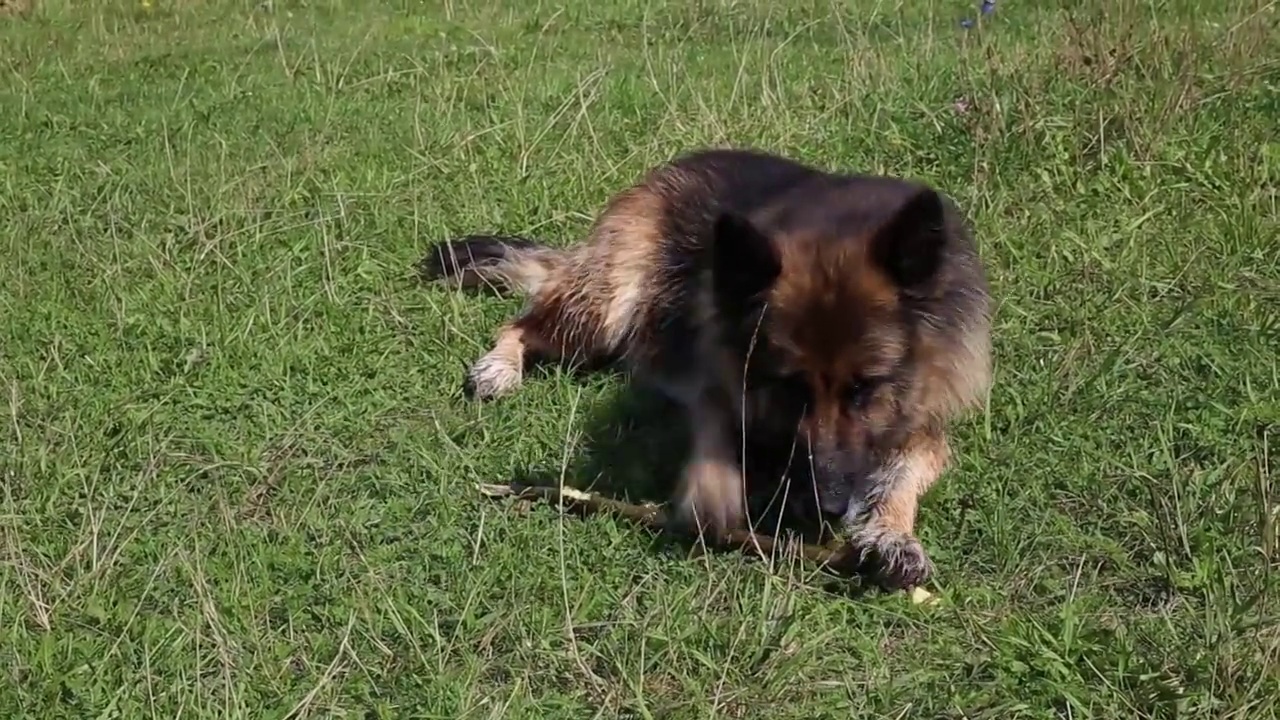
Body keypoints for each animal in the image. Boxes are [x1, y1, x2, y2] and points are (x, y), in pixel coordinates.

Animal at [419, 147, 988, 589]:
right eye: (793, 388)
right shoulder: (716, 367)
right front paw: (714, 484)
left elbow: (910, 465)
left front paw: (893, 530)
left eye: (865, 390)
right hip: (607, 303)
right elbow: (714, 423)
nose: (828, 508)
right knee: (522, 324)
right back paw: (498, 367)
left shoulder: (927, 415)